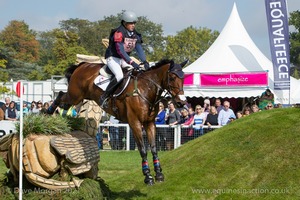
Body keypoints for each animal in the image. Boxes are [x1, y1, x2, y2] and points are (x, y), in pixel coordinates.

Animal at [47, 58, 188, 185]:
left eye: (183, 78)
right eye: (172, 77)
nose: (181, 102)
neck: (146, 90)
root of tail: (82, 65)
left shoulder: (149, 123)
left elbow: (153, 148)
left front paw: (158, 174)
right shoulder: (135, 123)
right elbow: (143, 149)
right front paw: (147, 176)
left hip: (79, 97)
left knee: (64, 101)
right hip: (75, 96)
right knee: (61, 95)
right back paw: (48, 112)